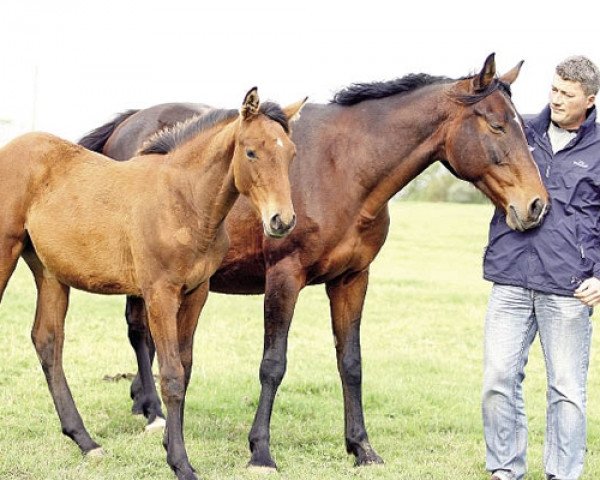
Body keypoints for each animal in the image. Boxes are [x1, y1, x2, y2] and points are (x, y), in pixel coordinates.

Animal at [0, 87, 308, 480]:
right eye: (251, 151)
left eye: (291, 153)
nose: (282, 221)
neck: (183, 201)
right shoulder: (160, 293)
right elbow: (172, 374)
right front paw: (181, 463)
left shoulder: (196, 293)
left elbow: (185, 369)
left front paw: (169, 447)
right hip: (5, 253)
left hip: (49, 272)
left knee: (48, 341)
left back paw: (86, 442)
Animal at [78, 54, 548, 470]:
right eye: (496, 124)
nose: (536, 205)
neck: (345, 168)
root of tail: (129, 123)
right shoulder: (284, 278)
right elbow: (273, 365)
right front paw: (261, 452)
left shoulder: (353, 279)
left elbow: (351, 363)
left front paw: (362, 448)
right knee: (139, 330)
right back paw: (155, 413)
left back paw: (145, 404)